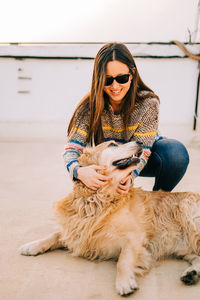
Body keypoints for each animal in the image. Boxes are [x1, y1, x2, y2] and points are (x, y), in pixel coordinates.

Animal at [19, 141, 200, 296]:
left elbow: (123, 260)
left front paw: (124, 282)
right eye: (113, 144)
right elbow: (55, 234)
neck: (98, 199)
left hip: (188, 214)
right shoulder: (77, 230)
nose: (140, 142)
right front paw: (32, 245)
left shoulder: (135, 236)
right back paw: (191, 273)